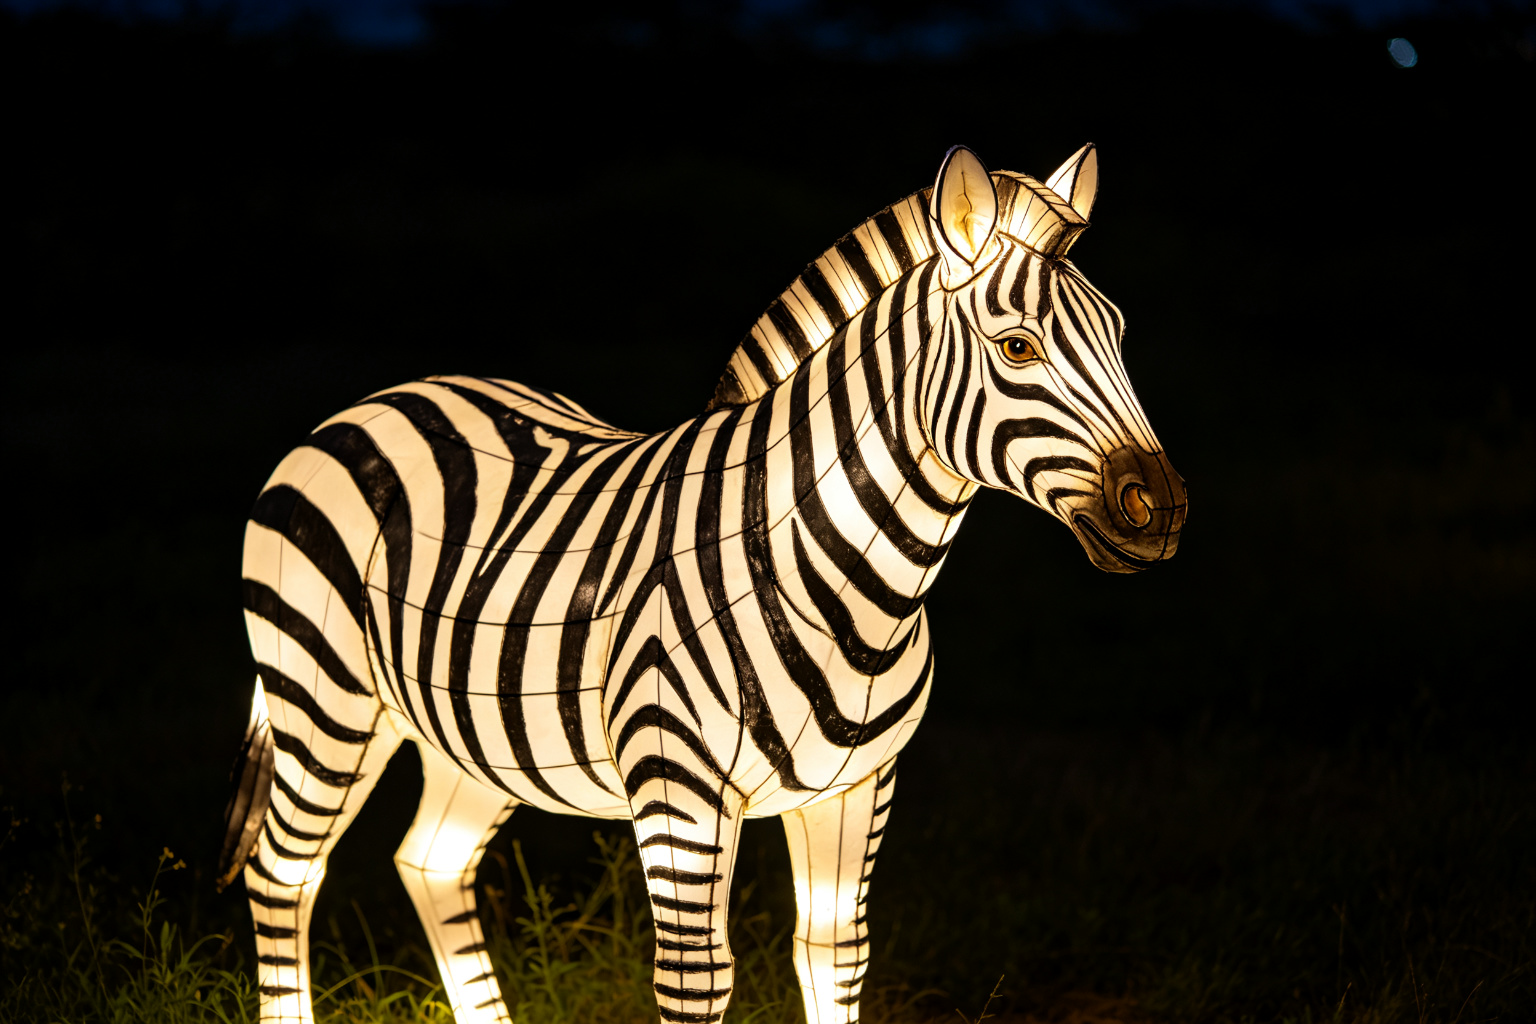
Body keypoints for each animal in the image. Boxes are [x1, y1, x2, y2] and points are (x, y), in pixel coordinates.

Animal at [217, 143, 1186, 1024]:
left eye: (1119, 334)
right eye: (1016, 347)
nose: (1164, 509)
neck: (849, 589)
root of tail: (373, 401)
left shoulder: (857, 788)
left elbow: (834, 955)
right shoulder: (677, 788)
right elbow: (697, 982)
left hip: (466, 732)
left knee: (429, 862)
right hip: (324, 699)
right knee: (285, 871)